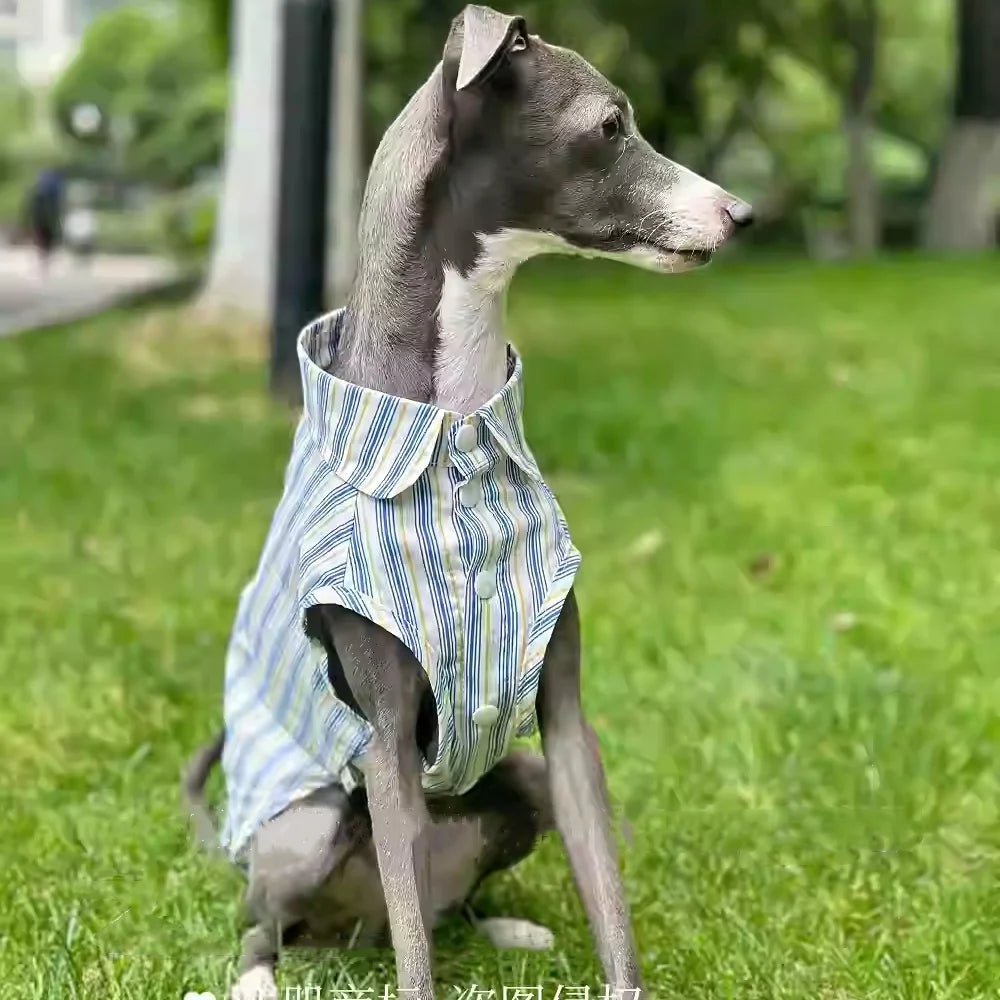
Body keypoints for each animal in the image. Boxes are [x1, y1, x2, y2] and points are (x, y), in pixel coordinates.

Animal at [186, 3, 752, 996]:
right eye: (611, 126)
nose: (741, 214)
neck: (454, 415)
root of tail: (353, 929)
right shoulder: (383, 742)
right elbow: (417, 961)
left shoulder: (565, 726)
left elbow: (608, 894)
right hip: (306, 832)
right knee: (292, 920)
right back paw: (258, 973)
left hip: (516, 783)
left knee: (441, 908)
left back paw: (504, 928)